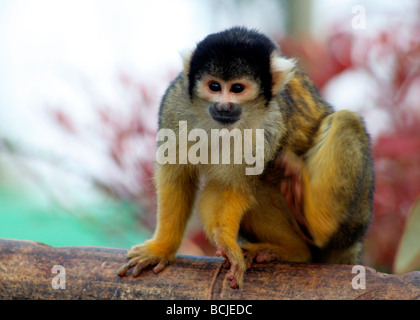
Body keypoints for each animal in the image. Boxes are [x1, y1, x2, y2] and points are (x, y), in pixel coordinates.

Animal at [118, 26, 374, 288]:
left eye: (237, 89)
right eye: (214, 86)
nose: (223, 106)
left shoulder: (270, 125)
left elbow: (230, 186)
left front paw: (226, 244)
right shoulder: (175, 103)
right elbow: (178, 174)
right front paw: (162, 248)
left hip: (354, 220)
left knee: (346, 122)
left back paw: (311, 220)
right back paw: (293, 247)